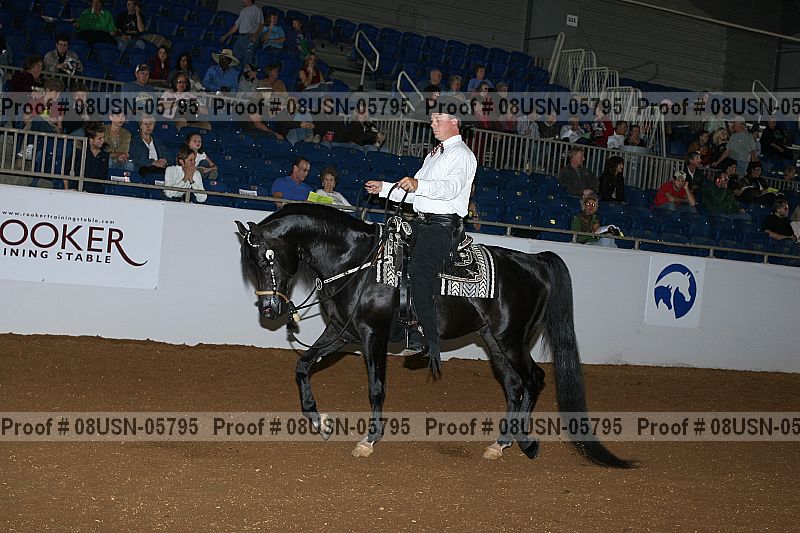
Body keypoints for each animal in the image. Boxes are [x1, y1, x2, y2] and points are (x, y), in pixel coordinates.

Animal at [236, 203, 634, 468]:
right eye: (251, 262)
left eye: (268, 257)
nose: (269, 310)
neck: (357, 262)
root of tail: (534, 261)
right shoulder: (341, 332)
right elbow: (303, 366)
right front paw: (321, 422)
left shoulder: (373, 334)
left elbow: (376, 388)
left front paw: (368, 440)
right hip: (494, 342)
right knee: (514, 386)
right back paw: (499, 444)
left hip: (512, 339)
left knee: (534, 379)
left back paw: (525, 442)